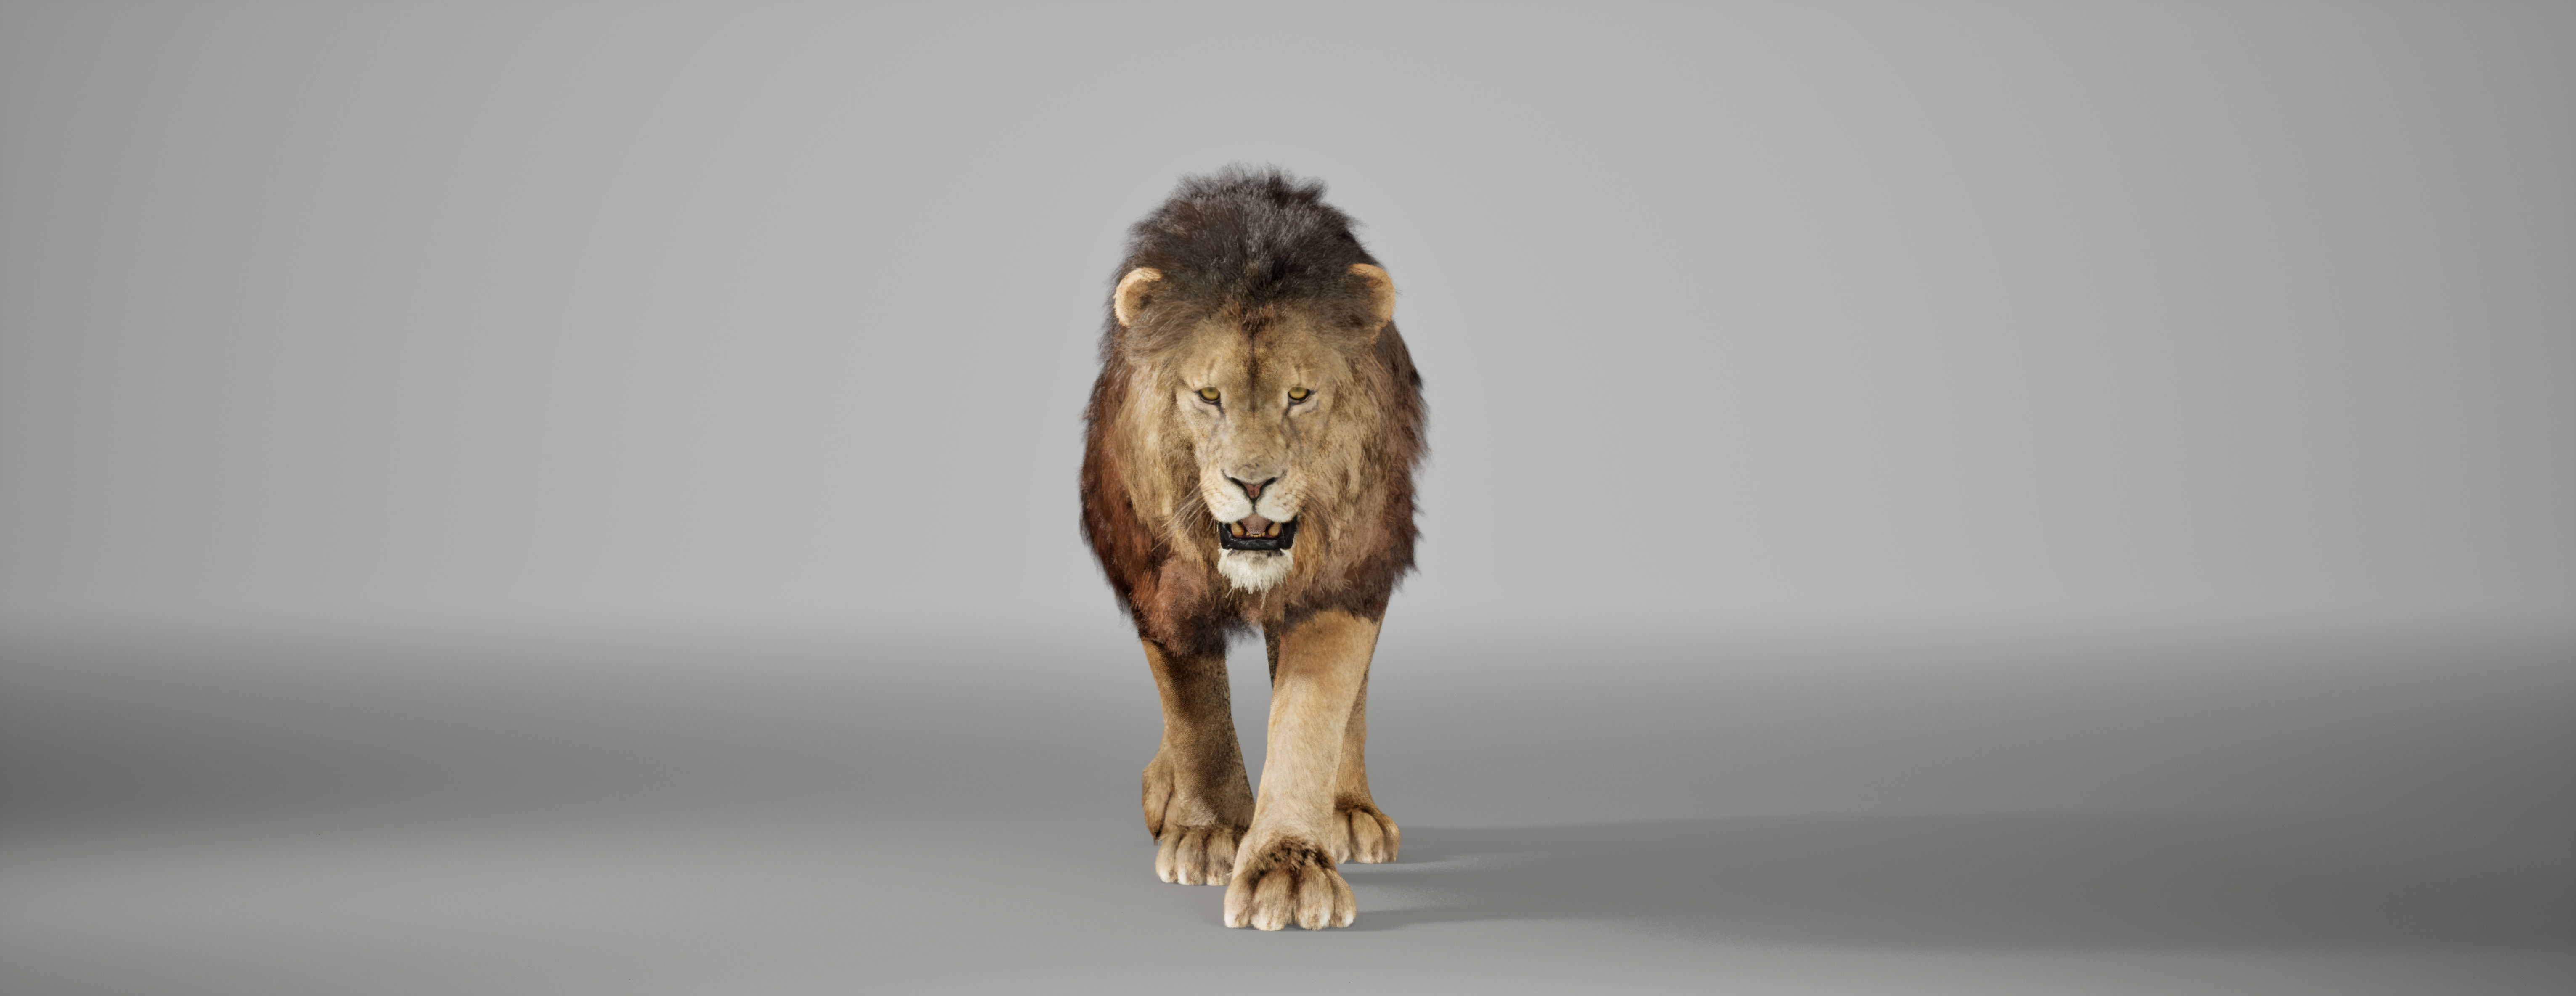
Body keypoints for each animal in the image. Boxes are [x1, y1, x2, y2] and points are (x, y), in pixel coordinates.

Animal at [1079, 168, 1425, 930]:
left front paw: (1289, 866)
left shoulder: (1339, 576)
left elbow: (1311, 718)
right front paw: (1208, 831)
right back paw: (1164, 794)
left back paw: (1348, 812)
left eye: (1299, 394)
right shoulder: (1160, 580)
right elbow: (1195, 711)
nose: (1253, 483)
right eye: (1208, 395)